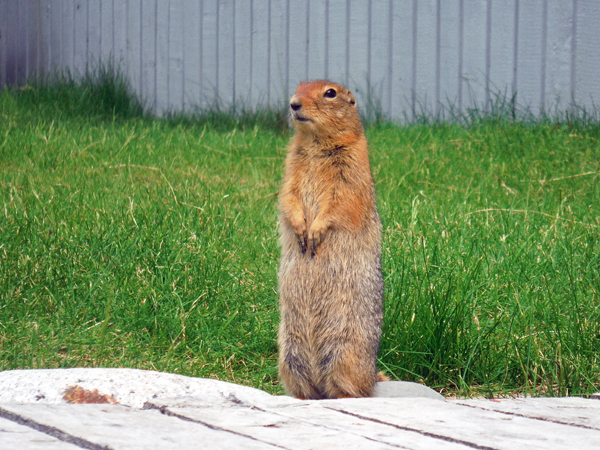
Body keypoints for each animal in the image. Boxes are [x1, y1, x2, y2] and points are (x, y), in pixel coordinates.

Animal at [278, 80, 384, 398]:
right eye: (299, 85)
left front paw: (314, 232)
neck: (315, 143)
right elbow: (287, 196)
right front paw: (300, 228)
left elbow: (340, 201)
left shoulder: (352, 168)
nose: (294, 103)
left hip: (346, 353)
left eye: (330, 93)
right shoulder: (290, 167)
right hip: (289, 356)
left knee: (355, 389)